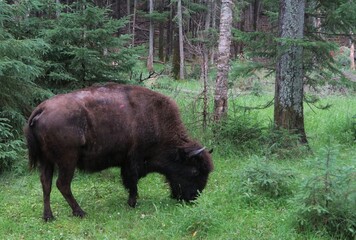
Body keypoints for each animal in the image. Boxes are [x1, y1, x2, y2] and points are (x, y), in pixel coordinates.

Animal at [25, 83, 214, 220]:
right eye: (195, 170)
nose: (193, 198)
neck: (154, 119)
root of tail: (41, 109)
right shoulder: (133, 159)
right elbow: (133, 180)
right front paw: (132, 202)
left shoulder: (127, 161)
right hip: (67, 160)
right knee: (62, 184)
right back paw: (80, 212)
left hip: (46, 161)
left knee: (46, 184)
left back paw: (48, 217)